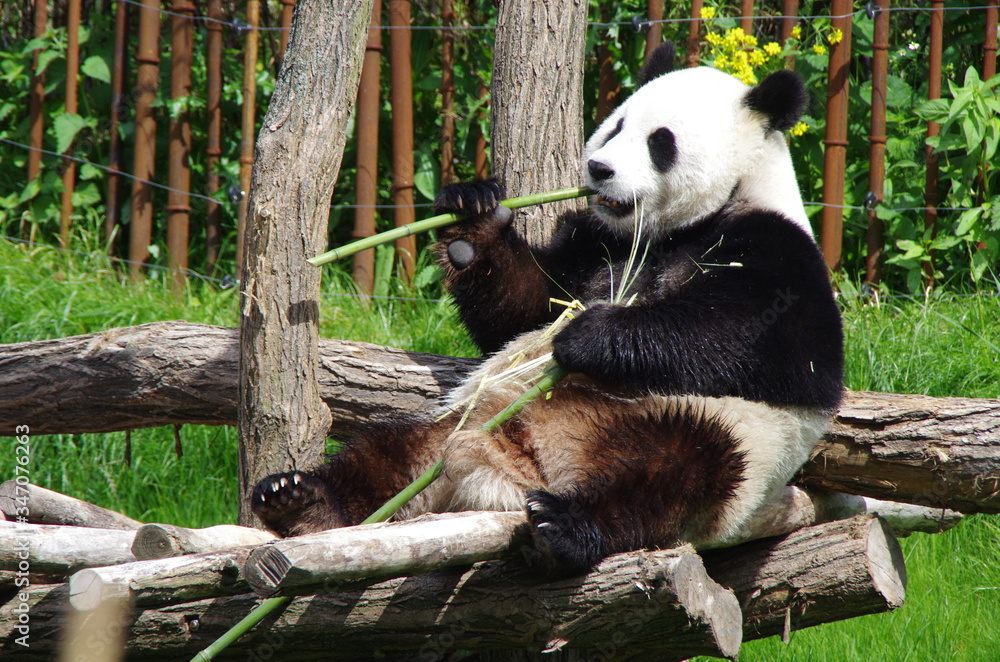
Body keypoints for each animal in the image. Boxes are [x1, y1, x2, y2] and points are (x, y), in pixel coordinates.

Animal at [252, 43, 844, 574]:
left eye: (661, 142)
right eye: (616, 125)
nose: (599, 168)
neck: (676, 229)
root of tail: (519, 470)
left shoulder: (779, 250)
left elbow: (762, 340)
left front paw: (588, 338)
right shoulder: (595, 244)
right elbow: (528, 308)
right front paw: (472, 216)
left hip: (714, 432)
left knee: (672, 473)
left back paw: (564, 526)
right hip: (463, 422)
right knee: (392, 453)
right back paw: (301, 500)